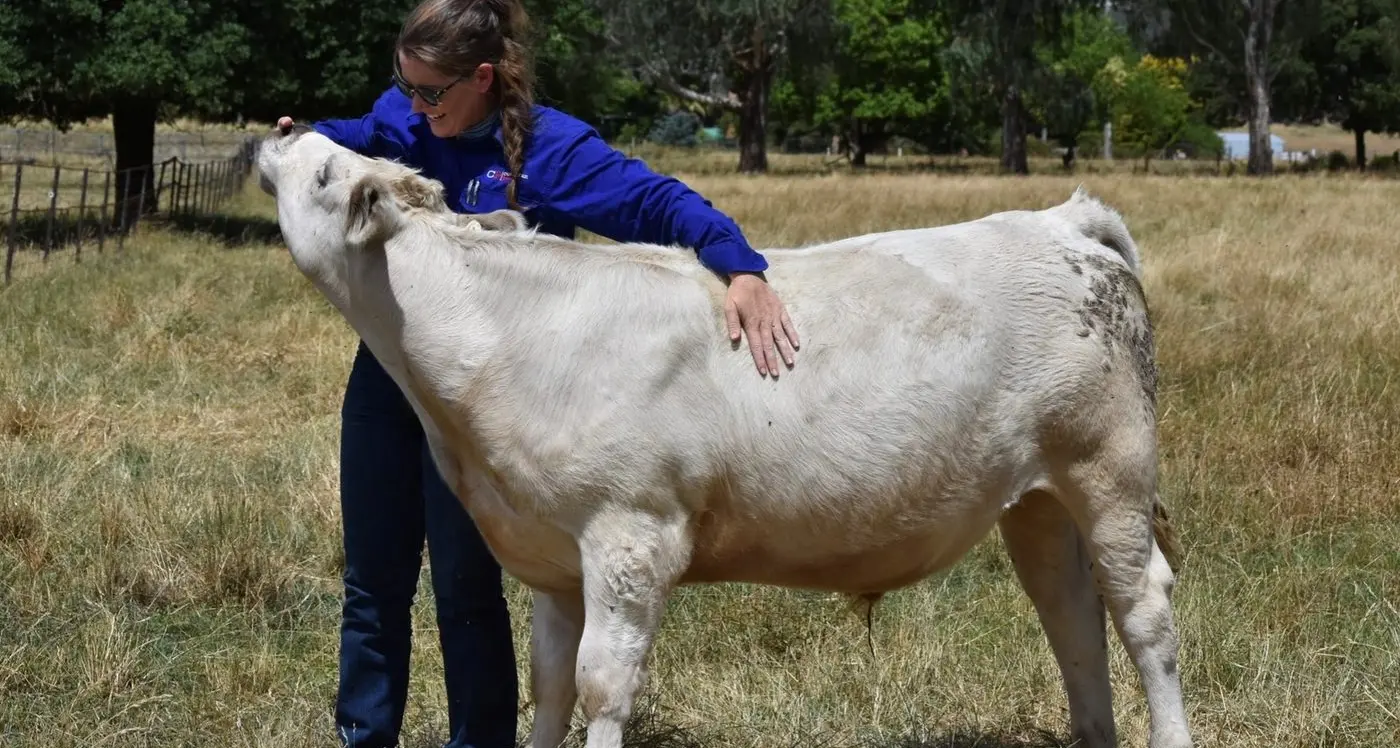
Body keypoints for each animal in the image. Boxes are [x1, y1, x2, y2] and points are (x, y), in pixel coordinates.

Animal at [255, 125, 1193, 748]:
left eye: (327, 170)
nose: (280, 130)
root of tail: (1057, 220)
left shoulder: (631, 536)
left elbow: (602, 687)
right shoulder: (551, 556)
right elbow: (549, 686)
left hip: (1110, 470)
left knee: (1143, 613)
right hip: (1037, 501)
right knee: (1072, 618)